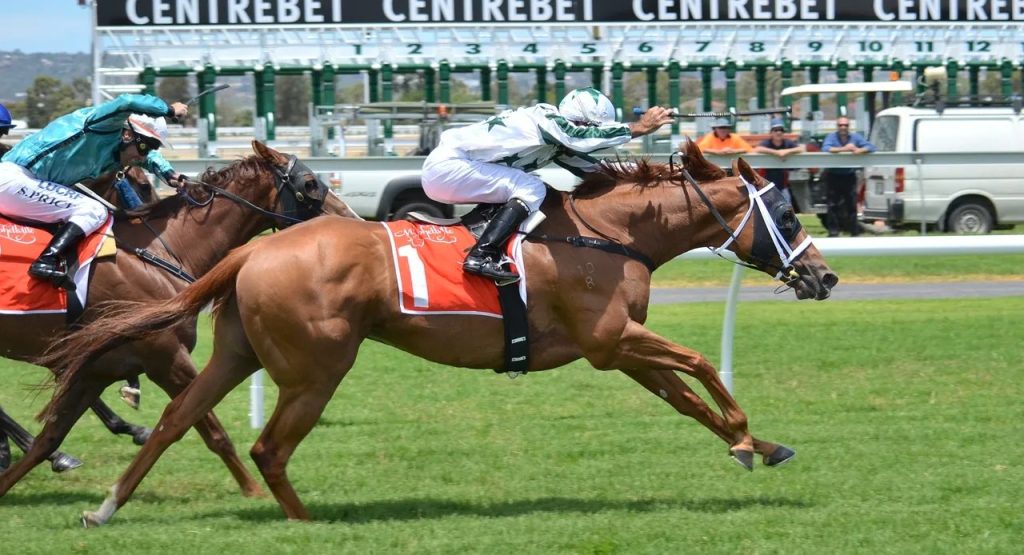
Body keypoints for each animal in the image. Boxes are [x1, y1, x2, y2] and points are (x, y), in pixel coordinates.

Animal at [40, 141, 837, 525]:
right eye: (786, 214)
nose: (824, 277)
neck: (609, 234)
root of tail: (252, 250)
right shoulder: (611, 338)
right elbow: (701, 363)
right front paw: (748, 436)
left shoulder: (615, 346)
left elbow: (687, 395)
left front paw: (755, 444)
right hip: (317, 366)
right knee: (268, 446)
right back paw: (307, 524)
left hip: (238, 353)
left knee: (181, 420)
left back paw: (103, 509)